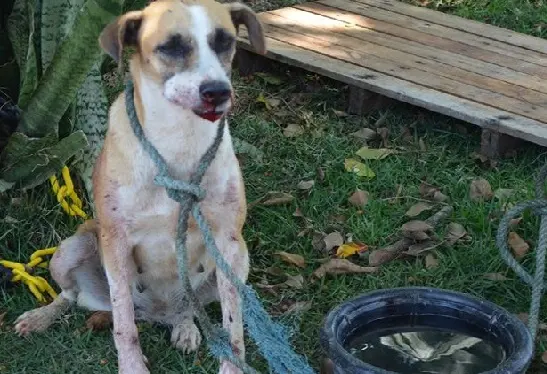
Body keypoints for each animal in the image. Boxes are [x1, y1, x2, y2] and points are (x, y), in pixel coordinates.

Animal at [13, 1, 266, 372]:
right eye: (171, 46)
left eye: (225, 41)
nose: (218, 92)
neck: (178, 142)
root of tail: (158, 313)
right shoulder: (116, 241)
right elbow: (123, 321)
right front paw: (132, 366)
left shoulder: (227, 242)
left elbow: (233, 326)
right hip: (70, 249)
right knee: (72, 295)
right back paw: (40, 317)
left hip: (241, 259)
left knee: (190, 308)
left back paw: (184, 327)